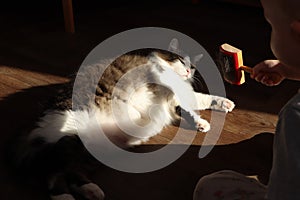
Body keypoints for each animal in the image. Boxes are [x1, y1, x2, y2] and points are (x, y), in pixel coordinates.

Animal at [11, 45, 236, 198]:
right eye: (182, 62)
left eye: (192, 67)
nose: (189, 72)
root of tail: (32, 128)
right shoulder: (169, 89)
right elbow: (191, 108)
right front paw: (202, 123)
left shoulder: (177, 100)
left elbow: (202, 99)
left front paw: (224, 103)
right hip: (70, 137)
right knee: (51, 173)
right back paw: (66, 197)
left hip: (86, 150)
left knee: (69, 172)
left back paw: (92, 191)